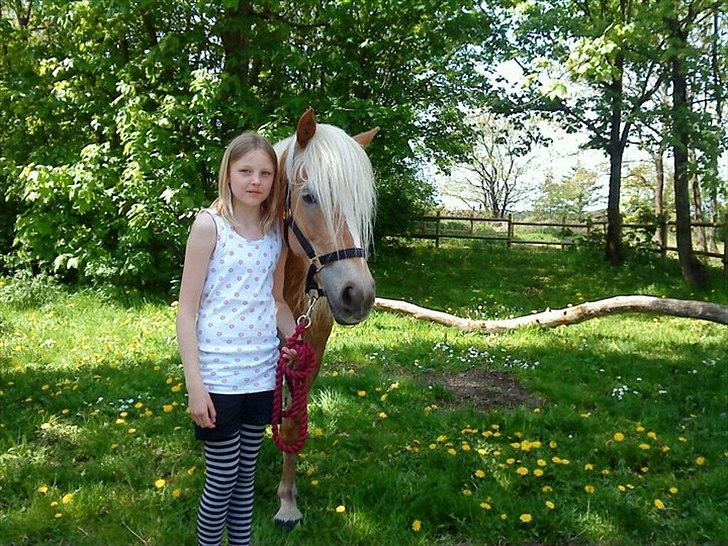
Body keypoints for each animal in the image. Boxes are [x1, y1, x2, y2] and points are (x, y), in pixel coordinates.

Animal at [270, 107, 378, 528]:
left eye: (360, 205)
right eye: (310, 196)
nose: (358, 294)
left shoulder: (308, 353)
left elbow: (292, 422)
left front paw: (287, 501)